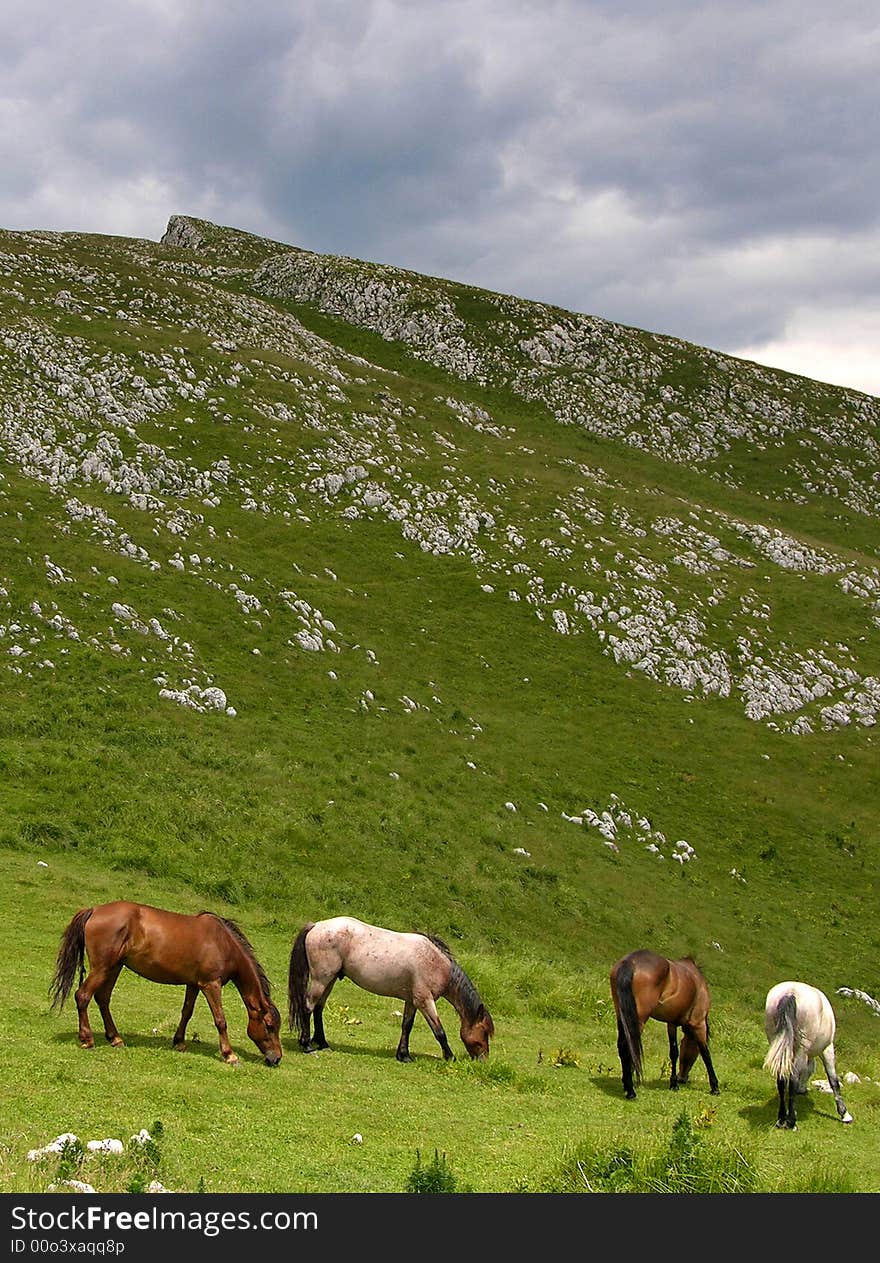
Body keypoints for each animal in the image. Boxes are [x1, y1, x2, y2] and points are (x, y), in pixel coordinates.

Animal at [50, 899, 281, 1065]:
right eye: (269, 1026)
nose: (277, 1058)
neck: (223, 942)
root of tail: (94, 910)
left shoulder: (194, 984)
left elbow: (186, 1012)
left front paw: (179, 1042)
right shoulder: (210, 985)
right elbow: (220, 1020)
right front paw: (229, 1054)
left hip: (114, 968)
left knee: (102, 999)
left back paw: (115, 1038)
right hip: (102, 968)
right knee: (83, 996)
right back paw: (87, 1039)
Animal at [287, 914, 494, 1060]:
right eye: (484, 1032)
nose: (483, 1060)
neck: (436, 963)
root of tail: (316, 925)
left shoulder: (412, 1001)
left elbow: (406, 1026)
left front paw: (404, 1055)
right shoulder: (424, 1001)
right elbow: (439, 1031)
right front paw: (450, 1057)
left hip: (328, 980)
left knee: (318, 1008)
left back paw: (322, 1043)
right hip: (321, 980)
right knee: (308, 1007)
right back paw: (307, 1045)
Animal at [608, 949, 717, 1096]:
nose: (682, 1078)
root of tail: (630, 962)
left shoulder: (671, 1023)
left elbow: (674, 1052)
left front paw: (673, 1084)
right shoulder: (698, 1024)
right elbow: (706, 1053)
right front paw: (715, 1086)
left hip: (622, 1016)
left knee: (622, 1045)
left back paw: (627, 1084)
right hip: (638, 1020)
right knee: (627, 1046)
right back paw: (630, 1090)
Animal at [762, 980, 853, 1131]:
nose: (802, 1090)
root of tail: (790, 993)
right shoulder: (827, 1049)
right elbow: (833, 1080)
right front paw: (844, 1114)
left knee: (781, 1078)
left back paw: (781, 1119)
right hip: (801, 1049)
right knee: (793, 1079)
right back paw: (791, 1122)